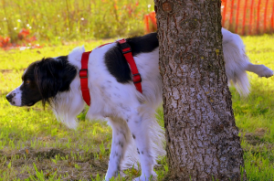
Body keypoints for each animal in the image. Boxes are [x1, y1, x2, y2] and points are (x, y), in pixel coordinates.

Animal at [5, 28, 272, 181]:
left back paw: (265, 70)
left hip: (228, 53)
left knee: (244, 62)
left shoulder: (134, 114)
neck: (80, 73)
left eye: (28, 81)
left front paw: (146, 176)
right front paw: (111, 177)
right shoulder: (118, 122)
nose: (7, 97)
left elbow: (144, 152)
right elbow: (114, 158)